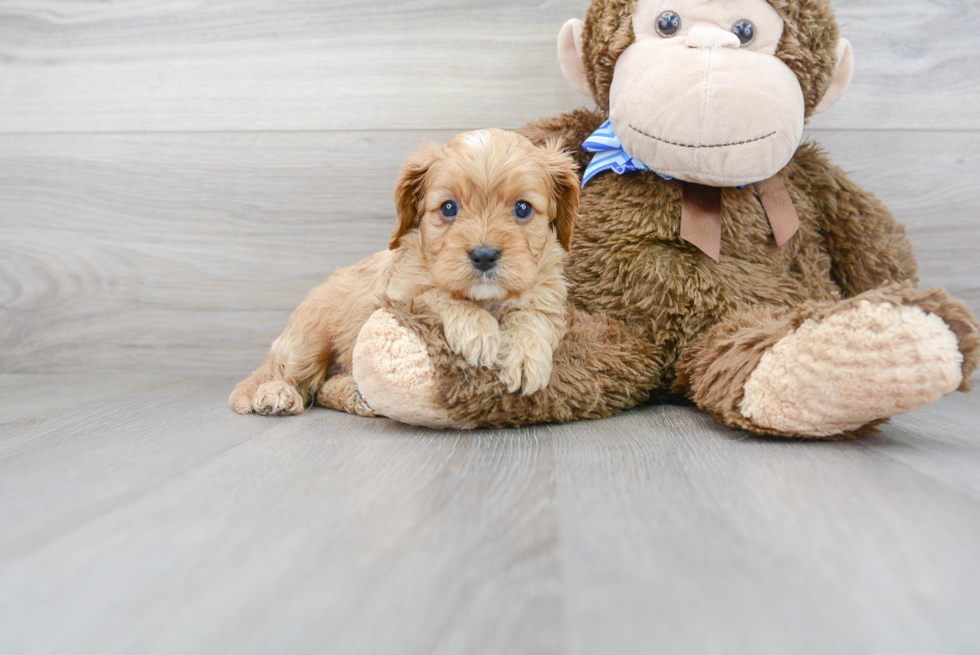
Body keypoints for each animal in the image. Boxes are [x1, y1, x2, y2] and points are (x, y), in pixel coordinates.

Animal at [231, 127, 580, 416]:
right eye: (449, 207)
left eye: (522, 208)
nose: (484, 256)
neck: (485, 300)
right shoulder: (400, 295)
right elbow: (436, 294)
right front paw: (478, 330)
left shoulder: (547, 297)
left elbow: (531, 317)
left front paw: (524, 357)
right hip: (308, 339)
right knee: (285, 375)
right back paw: (275, 394)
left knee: (326, 386)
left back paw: (357, 394)